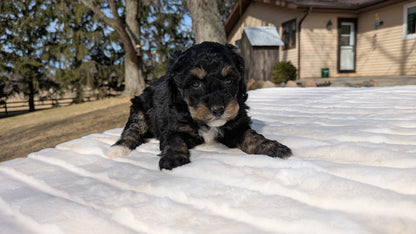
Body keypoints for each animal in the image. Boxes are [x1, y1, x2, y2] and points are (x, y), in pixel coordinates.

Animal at [108, 42, 292, 169]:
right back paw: (119, 148)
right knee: (132, 130)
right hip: (139, 108)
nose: (218, 110)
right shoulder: (173, 128)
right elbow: (174, 140)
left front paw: (273, 147)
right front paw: (173, 159)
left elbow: (252, 136)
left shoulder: (236, 126)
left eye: (229, 80)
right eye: (195, 84)